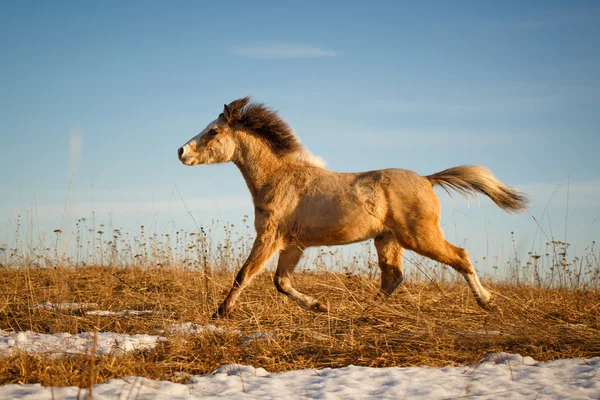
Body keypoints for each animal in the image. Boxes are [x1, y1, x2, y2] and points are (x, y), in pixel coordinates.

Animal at [176, 97, 528, 316]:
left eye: (214, 130)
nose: (181, 151)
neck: (280, 178)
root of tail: (428, 180)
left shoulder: (270, 237)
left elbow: (244, 273)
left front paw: (220, 313)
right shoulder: (293, 245)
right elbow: (281, 282)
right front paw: (321, 307)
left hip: (419, 237)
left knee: (460, 257)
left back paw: (489, 304)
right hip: (387, 240)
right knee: (393, 278)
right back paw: (363, 315)